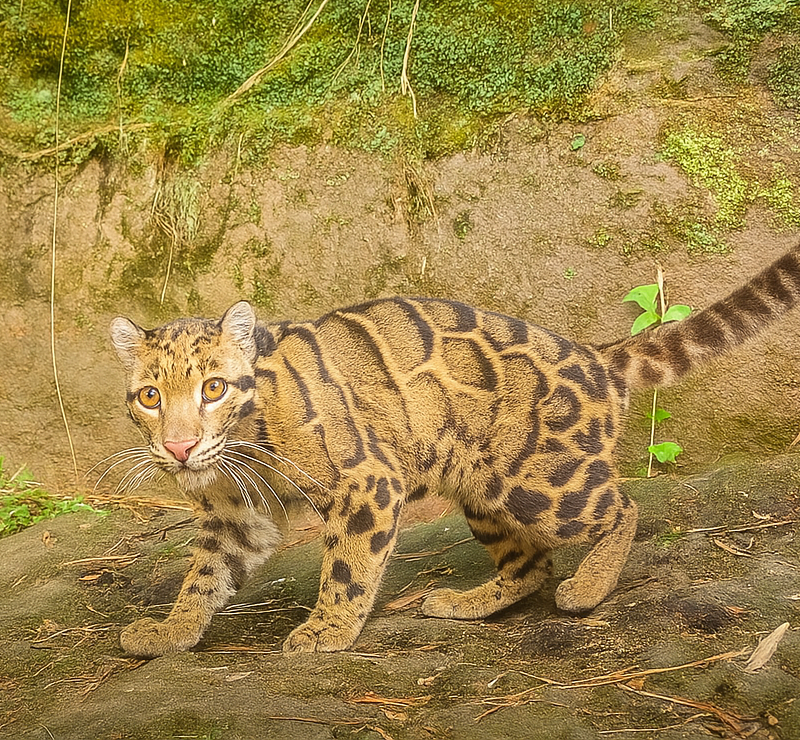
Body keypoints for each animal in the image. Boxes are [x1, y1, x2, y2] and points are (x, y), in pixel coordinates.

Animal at [109, 245, 800, 657]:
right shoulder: (236, 516)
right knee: (531, 562)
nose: (178, 447)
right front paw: (172, 630)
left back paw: (589, 587)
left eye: (213, 387)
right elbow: (204, 574)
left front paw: (326, 629)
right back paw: (468, 603)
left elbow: (348, 565)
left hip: (541, 482)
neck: (240, 445)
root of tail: (595, 354)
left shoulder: (367, 481)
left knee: (622, 507)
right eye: (149, 396)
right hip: (483, 487)